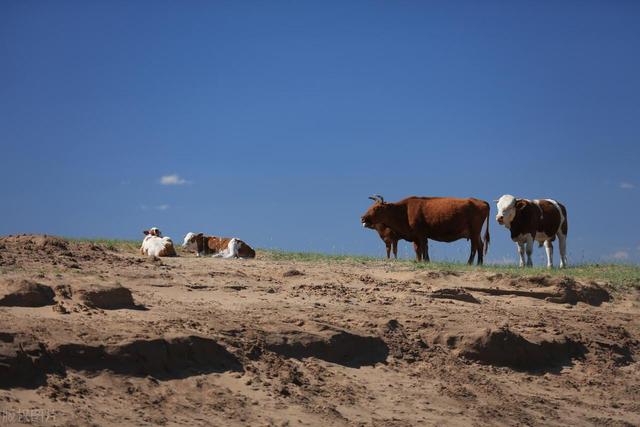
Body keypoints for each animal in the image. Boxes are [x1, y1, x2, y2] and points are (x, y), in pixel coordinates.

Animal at [360, 196, 490, 264]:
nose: (362, 217)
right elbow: (418, 250)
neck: (404, 210)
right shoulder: (415, 237)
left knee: (474, 247)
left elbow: (424, 248)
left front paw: (426, 261)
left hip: (474, 231)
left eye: (377, 208)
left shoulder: (421, 234)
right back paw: (479, 264)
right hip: (476, 233)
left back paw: (469, 263)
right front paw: (419, 261)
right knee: (480, 245)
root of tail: (481, 201)